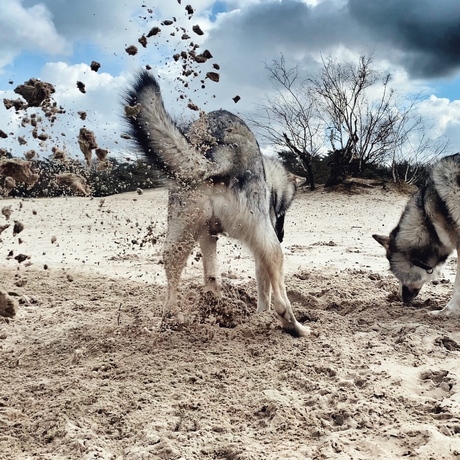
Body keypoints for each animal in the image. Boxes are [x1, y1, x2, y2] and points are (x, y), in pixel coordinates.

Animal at [124, 73, 310, 338]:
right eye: (283, 210)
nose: (282, 234)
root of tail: (220, 153)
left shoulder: (206, 235)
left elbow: (212, 276)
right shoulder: (260, 249)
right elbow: (265, 290)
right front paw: (261, 315)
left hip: (178, 237)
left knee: (184, 282)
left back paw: (174, 320)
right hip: (269, 244)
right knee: (282, 301)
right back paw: (295, 327)